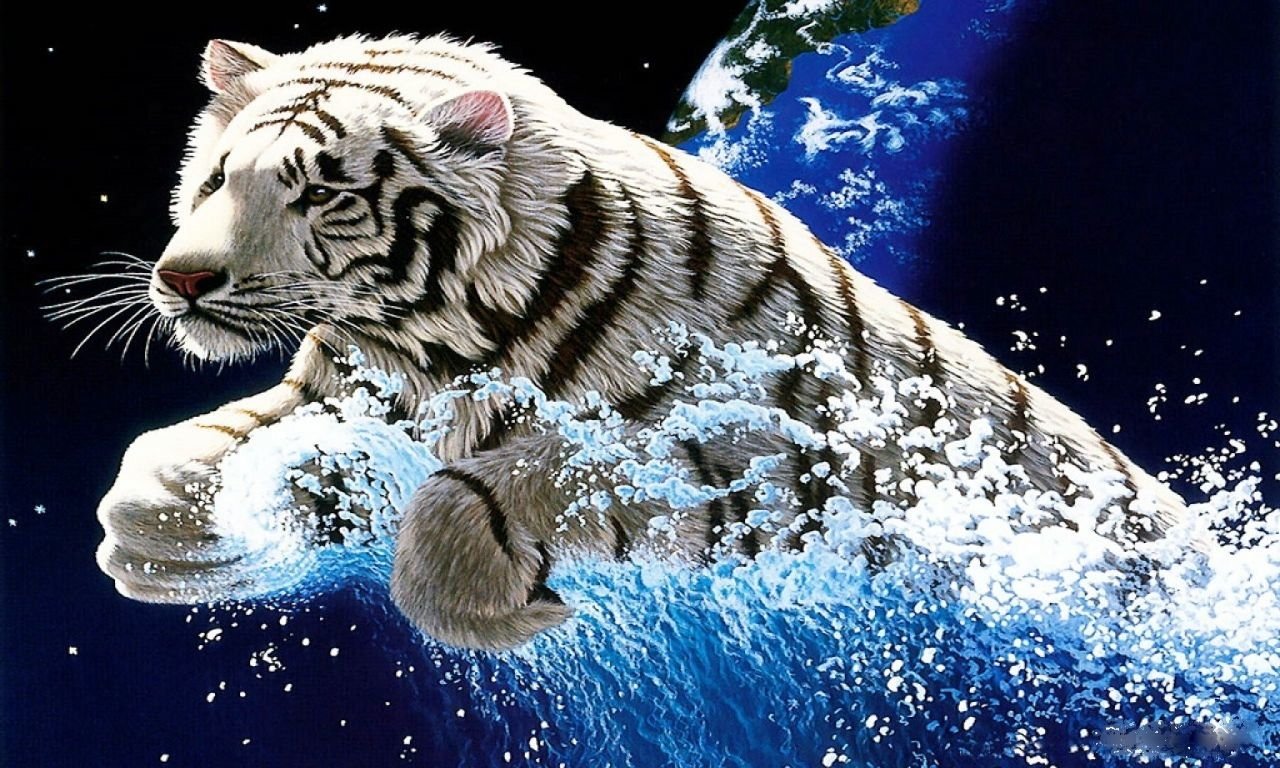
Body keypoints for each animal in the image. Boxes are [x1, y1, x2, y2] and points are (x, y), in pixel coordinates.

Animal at [94, 34, 1189, 651]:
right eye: (215, 180)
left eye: (320, 193)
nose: (181, 280)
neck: (429, 339)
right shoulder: (345, 389)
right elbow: (200, 444)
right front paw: (156, 530)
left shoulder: (750, 464)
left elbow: (490, 486)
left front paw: (501, 610)